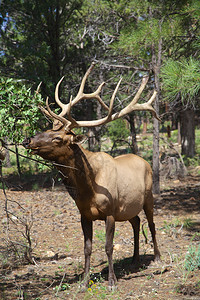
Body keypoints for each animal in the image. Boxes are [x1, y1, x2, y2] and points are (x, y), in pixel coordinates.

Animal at [23, 63, 161, 290]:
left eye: (57, 138)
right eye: (46, 129)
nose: (27, 140)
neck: (88, 187)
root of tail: (144, 160)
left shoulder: (110, 212)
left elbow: (108, 246)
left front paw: (112, 281)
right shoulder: (84, 214)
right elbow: (87, 247)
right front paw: (84, 280)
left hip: (149, 196)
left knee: (151, 223)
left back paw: (157, 257)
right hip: (128, 207)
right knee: (136, 221)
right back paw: (134, 259)